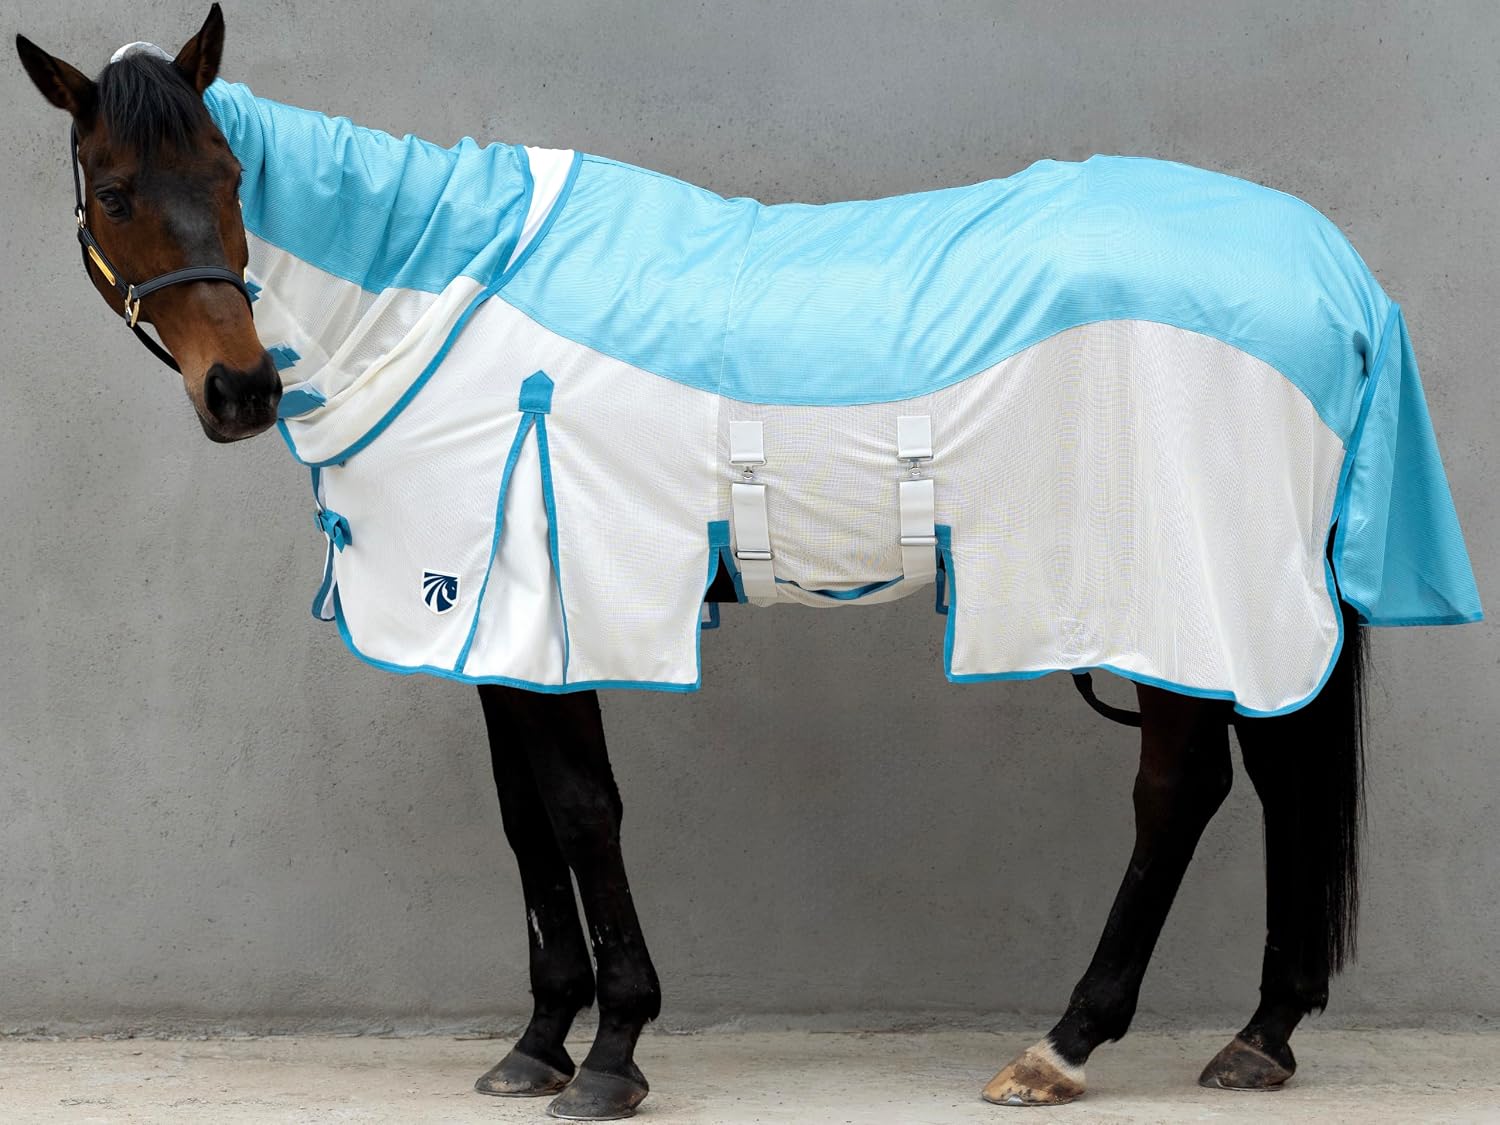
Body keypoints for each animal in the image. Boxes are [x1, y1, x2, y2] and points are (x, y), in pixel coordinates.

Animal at [15, 7, 1482, 1120]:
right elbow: (525, 819)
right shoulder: (495, 618)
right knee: (1278, 779)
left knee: (1180, 793)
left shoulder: (569, 601)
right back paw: (1261, 1034)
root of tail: (1332, 269)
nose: (241, 391)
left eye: (233, 181)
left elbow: (583, 810)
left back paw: (1066, 1043)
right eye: (116, 192)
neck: (458, 291)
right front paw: (535, 1042)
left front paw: (611, 1054)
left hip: (1174, 587)